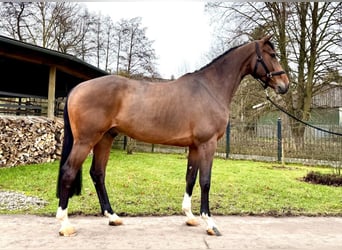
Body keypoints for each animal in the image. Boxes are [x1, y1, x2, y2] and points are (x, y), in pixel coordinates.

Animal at [55, 35, 288, 236]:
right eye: (272, 54)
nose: (284, 85)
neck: (210, 88)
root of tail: (77, 88)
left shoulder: (194, 146)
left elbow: (190, 178)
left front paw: (190, 216)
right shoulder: (207, 144)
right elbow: (205, 181)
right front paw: (210, 222)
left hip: (105, 138)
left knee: (98, 173)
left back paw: (113, 216)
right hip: (86, 140)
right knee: (68, 171)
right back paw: (65, 224)